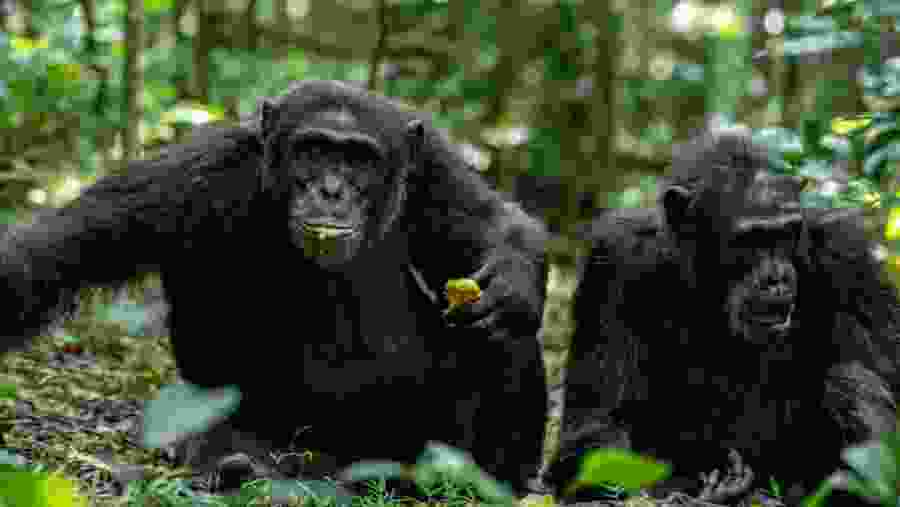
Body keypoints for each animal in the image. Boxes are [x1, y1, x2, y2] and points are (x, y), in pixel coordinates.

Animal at [0, 80, 548, 496]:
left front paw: (512, 286)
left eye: (359, 160)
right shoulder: (198, 169)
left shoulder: (432, 161)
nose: (331, 189)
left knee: (505, 339)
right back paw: (236, 466)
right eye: (314, 150)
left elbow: (490, 219)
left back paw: (487, 481)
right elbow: (65, 245)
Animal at [544, 129, 900, 506]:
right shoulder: (613, 263)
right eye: (749, 240)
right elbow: (595, 430)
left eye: (785, 234)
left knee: (849, 382)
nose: (777, 277)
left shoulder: (848, 254)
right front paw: (704, 491)